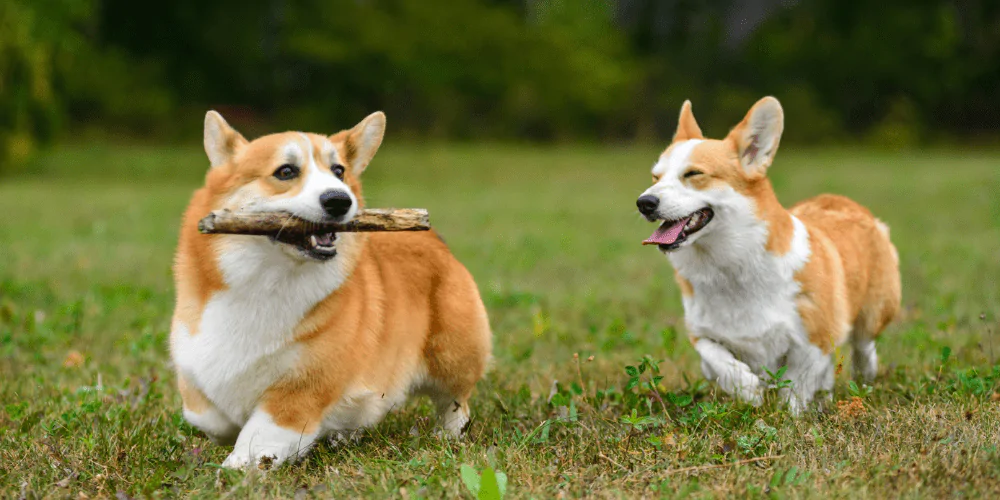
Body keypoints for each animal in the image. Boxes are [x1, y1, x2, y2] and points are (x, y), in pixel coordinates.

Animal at [171, 110, 492, 468]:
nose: (340, 200)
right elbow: (207, 416)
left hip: (453, 355)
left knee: (455, 400)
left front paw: (237, 469)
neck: (267, 281)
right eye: (286, 171)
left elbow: (260, 434)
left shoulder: (300, 390)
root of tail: (434, 237)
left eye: (339, 171)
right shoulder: (194, 361)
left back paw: (448, 435)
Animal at [636, 97, 904, 414]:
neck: (729, 267)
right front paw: (748, 390)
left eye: (693, 174)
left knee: (864, 347)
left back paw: (863, 378)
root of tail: (843, 200)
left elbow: (795, 389)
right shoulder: (701, 333)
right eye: (655, 176)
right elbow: (717, 362)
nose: (644, 202)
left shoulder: (812, 340)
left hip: (872, 315)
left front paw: (789, 417)